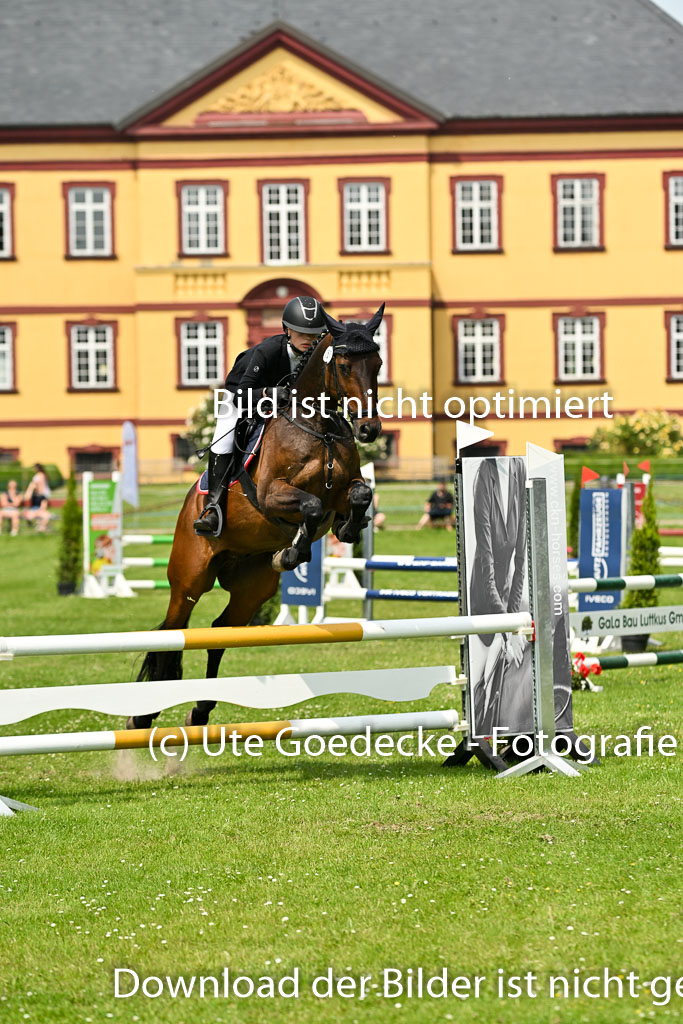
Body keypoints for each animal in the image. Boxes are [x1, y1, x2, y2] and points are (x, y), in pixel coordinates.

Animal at [129, 305, 384, 729]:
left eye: (377, 364)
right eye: (345, 365)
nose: (369, 429)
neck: (320, 428)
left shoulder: (345, 488)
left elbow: (359, 494)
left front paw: (346, 529)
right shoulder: (270, 493)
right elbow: (310, 506)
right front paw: (294, 552)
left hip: (253, 586)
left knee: (220, 632)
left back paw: (200, 710)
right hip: (189, 577)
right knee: (174, 631)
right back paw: (142, 716)